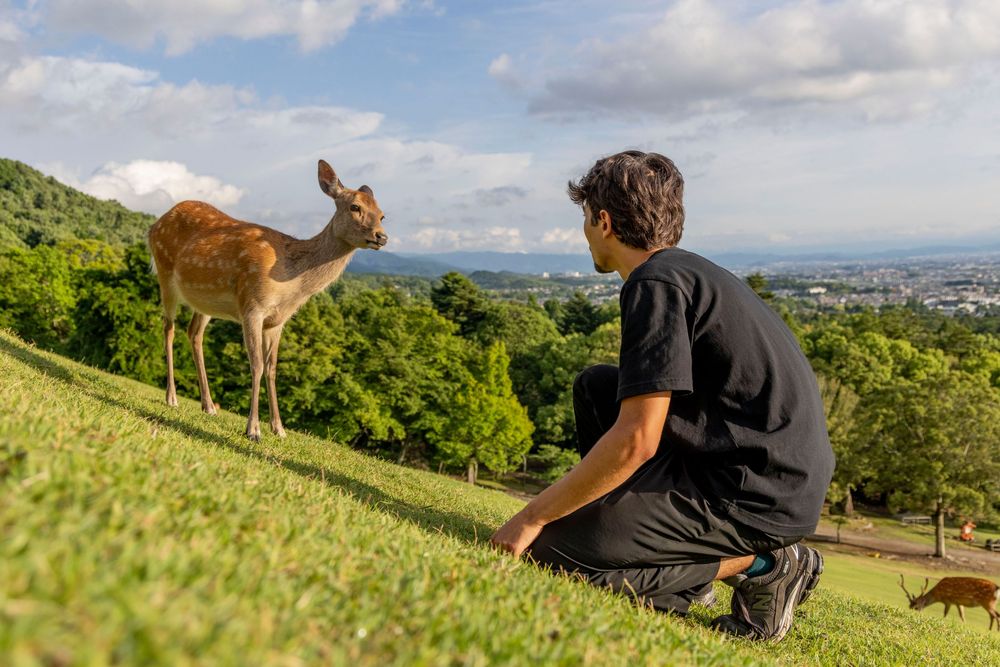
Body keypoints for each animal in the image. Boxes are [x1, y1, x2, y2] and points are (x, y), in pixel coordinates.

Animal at [148, 160, 387, 441]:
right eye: (355, 207)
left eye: (382, 214)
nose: (382, 236)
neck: (291, 284)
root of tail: (155, 224)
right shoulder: (253, 306)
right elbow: (257, 365)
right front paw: (253, 429)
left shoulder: (278, 321)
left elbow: (272, 370)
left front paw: (279, 428)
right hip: (164, 273)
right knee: (169, 328)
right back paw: (172, 397)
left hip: (205, 301)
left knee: (194, 333)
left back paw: (208, 406)